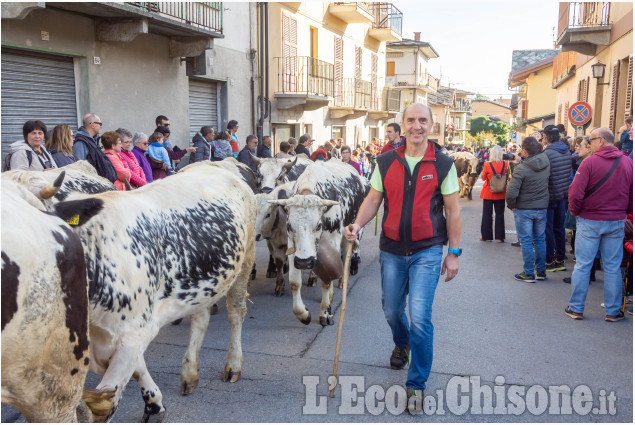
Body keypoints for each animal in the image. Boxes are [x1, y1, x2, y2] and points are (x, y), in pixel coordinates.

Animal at [49, 164, 256, 420]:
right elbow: (137, 370)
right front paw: (154, 403)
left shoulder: (135, 331)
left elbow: (107, 399)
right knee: (201, 318)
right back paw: (190, 373)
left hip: (246, 259)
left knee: (236, 313)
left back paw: (233, 365)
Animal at [268, 158, 368, 324]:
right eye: (289, 226)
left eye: (318, 225)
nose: (304, 262)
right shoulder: (292, 246)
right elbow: (294, 282)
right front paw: (303, 314)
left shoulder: (333, 240)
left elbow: (326, 281)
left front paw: (325, 312)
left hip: (350, 233)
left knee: (345, 258)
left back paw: (342, 281)